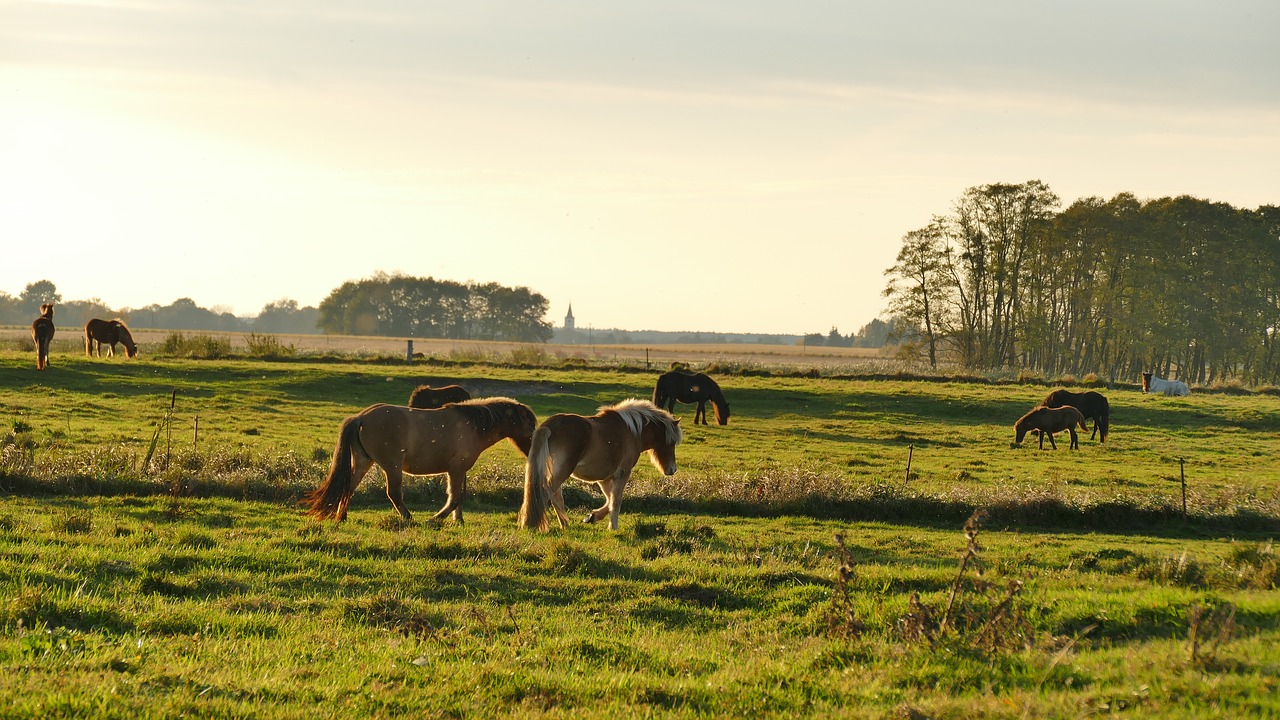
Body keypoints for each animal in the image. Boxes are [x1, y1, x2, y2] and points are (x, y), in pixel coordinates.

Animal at [303, 394, 535, 525]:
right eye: (531, 425)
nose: (533, 450)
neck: (472, 426)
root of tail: (361, 418)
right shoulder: (456, 469)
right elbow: (454, 498)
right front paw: (437, 518)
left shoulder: (459, 471)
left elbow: (459, 496)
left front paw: (458, 521)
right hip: (392, 466)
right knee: (394, 493)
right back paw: (408, 518)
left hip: (363, 462)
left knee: (349, 487)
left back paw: (342, 516)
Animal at [517, 394, 686, 530]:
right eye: (671, 442)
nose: (672, 469)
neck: (631, 431)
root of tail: (550, 427)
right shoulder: (623, 473)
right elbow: (616, 500)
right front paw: (613, 527)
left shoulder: (604, 478)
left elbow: (609, 499)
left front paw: (592, 517)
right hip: (562, 471)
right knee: (546, 492)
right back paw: (533, 524)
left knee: (556, 496)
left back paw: (564, 524)